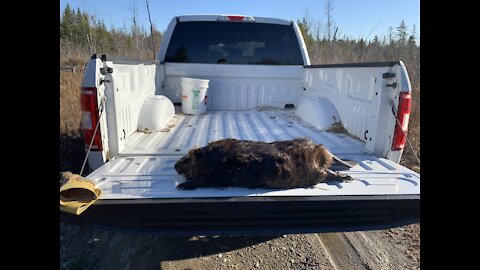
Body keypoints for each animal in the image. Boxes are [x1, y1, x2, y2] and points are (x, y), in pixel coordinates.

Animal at [175, 138, 348, 189]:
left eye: (186, 158)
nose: (175, 166)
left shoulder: (218, 174)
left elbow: (204, 180)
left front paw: (183, 186)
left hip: (311, 173)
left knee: (325, 171)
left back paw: (345, 175)